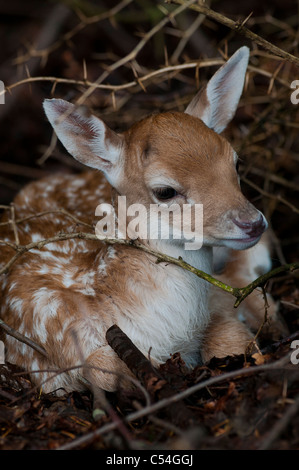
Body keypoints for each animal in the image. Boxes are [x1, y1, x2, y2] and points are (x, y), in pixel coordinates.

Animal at [0, 46, 288, 392]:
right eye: (165, 191)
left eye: (236, 163)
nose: (253, 222)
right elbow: (102, 369)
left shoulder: (219, 301)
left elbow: (231, 339)